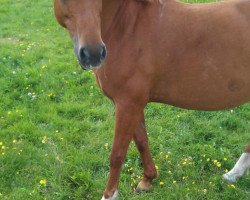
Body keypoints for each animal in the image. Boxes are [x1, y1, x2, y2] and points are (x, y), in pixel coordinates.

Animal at [54, 0, 250, 198]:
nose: (93, 54)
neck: (126, 29)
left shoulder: (128, 104)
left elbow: (117, 153)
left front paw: (109, 195)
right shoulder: (132, 104)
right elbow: (142, 141)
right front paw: (147, 180)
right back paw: (233, 175)